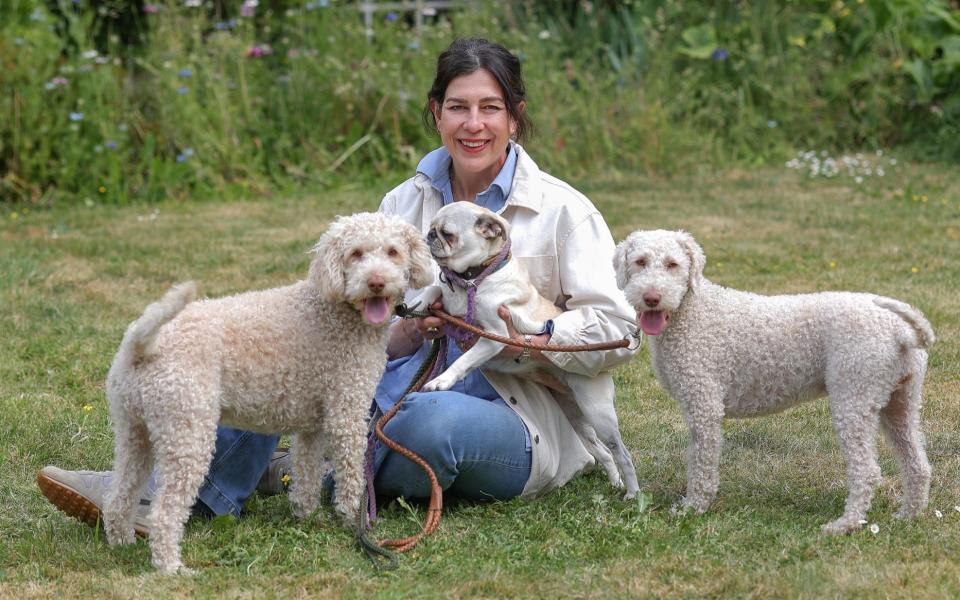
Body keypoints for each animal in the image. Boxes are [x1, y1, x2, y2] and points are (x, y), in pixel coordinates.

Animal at [103, 211, 434, 572]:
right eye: (355, 253)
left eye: (393, 252)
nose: (376, 282)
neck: (337, 310)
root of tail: (142, 345)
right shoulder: (346, 410)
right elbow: (350, 473)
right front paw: (352, 521)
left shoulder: (312, 426)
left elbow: (307, 472)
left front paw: (306, 515)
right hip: (187, 432)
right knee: (164, 512)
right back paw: (171, 567)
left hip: (135, 432)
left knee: (119, 496)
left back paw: (121, 542)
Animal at [612, 230, 932, 536]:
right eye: (640, 261)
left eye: (672, 264)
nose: (652, 297)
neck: (693, 310)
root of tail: (901, 332)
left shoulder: (704, 404)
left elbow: (701, 465)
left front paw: (693, 508)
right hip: (900, 402)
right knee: (917, 464)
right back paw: (908, 515)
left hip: (854, 397)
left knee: (867, 472)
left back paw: (844, 525)